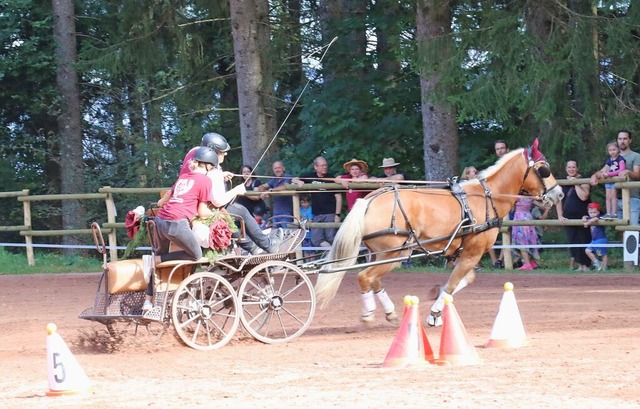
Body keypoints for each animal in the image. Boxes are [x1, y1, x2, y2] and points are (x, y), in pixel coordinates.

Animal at [318, 139, 564, 326]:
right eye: (544, 168)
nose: (559, 194)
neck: (486, 197)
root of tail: (370, 199)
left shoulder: (461, 254)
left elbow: (462, 281)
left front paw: (437, 296)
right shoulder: (472, 254)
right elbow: (453, 284)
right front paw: (435, 314)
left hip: (382, 254)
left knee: (374, 280)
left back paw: (390, 313)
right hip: (393, 253)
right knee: (364, 277)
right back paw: (369, 315)